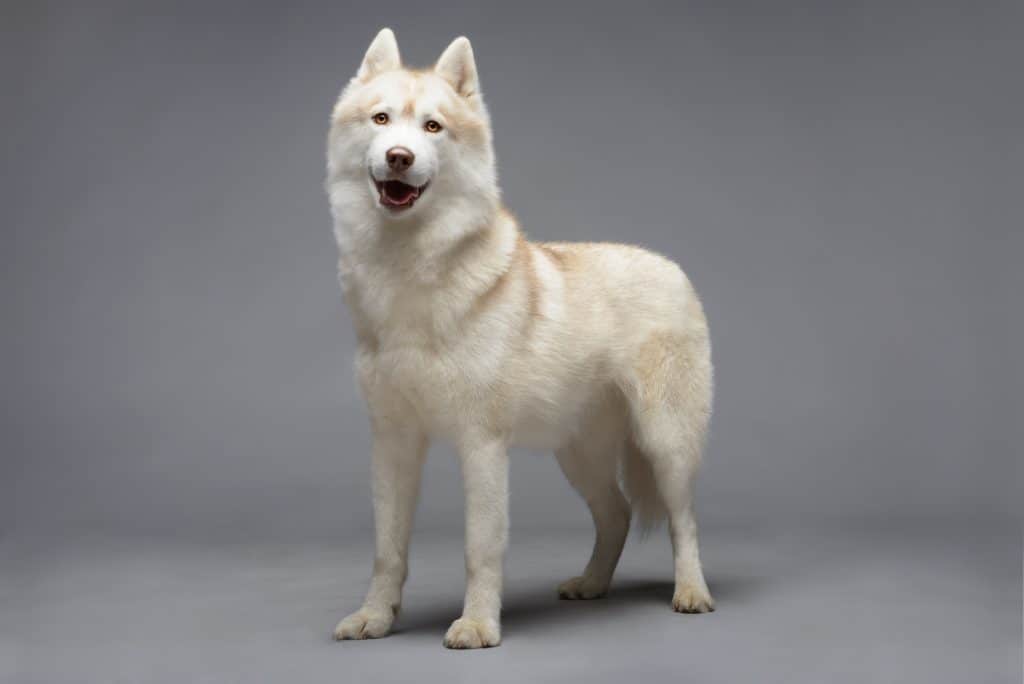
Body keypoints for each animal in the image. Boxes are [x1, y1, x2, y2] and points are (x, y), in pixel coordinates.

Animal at [325, 28, 712, 647]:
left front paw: (478, 625)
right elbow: (388, 550)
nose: (398, 157)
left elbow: (480, 549)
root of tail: (672, 267)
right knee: (617, 514)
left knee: (684, 521)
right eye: (381, 119)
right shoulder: (392, 443)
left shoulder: (481, 446)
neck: (409, 277)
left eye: (432, 127)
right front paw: (374, 618)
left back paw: (692, 593)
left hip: (665, 444)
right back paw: (591, 585)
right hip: (577, 455)